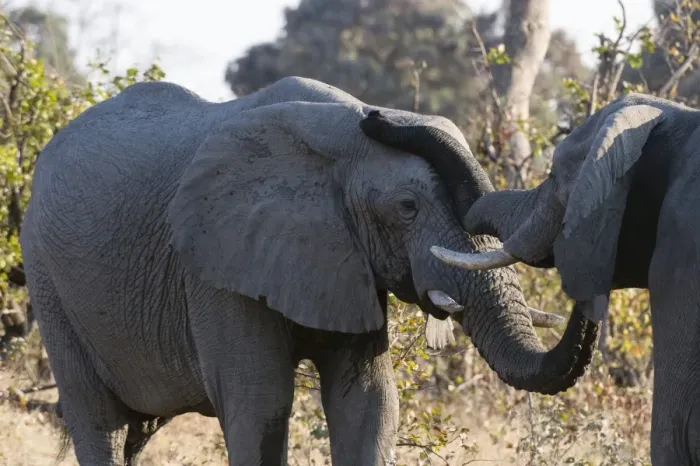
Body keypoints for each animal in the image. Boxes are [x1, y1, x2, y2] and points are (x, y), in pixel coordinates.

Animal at [20, 76, 597, 466]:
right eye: (407, 208)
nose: (380, 117)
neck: (334, 132)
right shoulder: (213, 266)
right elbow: (261, 406)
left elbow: (368, 404)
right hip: (47, 279)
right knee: (101, 422)